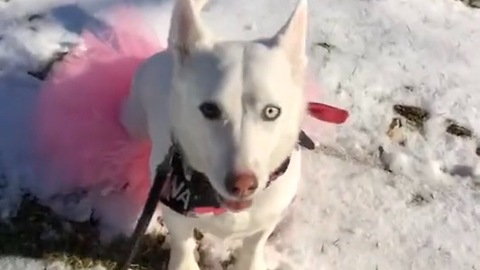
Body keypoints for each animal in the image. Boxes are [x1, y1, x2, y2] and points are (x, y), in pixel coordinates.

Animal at [122, 0, 310, 268]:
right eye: (209, 109)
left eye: (271, 111)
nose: (242, 184)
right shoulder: (174, 210)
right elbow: (182, 241)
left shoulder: (269, 216)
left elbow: (255, 243)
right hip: (133, 122)